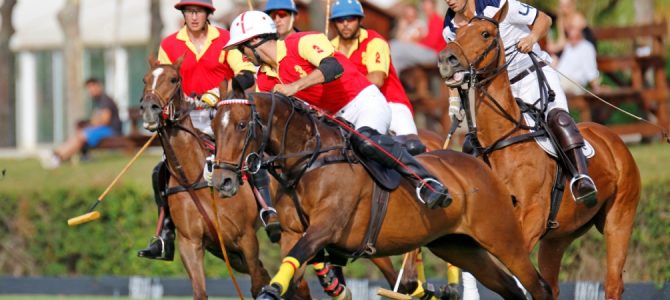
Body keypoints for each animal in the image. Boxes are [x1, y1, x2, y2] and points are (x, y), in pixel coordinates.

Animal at [138, 57, 414, 298]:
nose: (149, 109)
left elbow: (260, 283)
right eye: (145, 79)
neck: (194, 175)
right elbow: (202, 291)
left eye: (174, 79)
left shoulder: (246, 238)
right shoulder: (193, 244)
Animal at [213, 92, 552, 300]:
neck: (310, 159)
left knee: (538, 286)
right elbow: (292, 271)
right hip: (458, 246)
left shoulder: (326, 226)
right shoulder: (294, 233)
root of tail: (479, 163)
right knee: (511, 289)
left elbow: (291, 266)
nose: (222, 181)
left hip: (503, 237)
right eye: (214, 127)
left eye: (242, 125)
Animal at [438, 12, 644, 300]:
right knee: (553, 283)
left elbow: (517, 268)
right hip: (558, 237)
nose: (447, 59)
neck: (501, 141)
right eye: (455, 35)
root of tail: (613, 138)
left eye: (485, 34)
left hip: (620, 218)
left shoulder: (533, 214)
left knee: (613, 282)